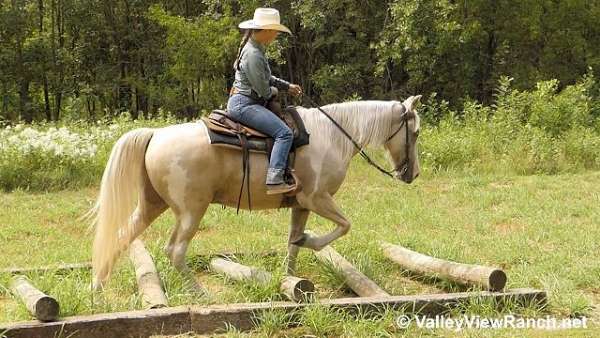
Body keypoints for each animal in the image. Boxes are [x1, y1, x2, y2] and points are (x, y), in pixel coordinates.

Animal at [91, 95, 424, 290]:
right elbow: (344, 225)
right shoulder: (317, 199)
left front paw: (290, 277)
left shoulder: (301, 205)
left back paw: (98, 286)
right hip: (191, 211)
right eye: (416, 132)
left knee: (121, 236)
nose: (413, 174)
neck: (333, 136)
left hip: (152, 204)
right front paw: (311, 242)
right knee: (174, 251)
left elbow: (292, 244)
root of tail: (156, 134)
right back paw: (198, 291)